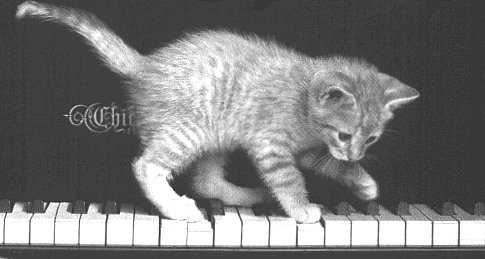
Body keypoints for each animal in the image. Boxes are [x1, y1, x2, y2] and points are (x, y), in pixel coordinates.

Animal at [15, 0, 416, 223]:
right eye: (344, 134)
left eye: (371, 139)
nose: (355, 152)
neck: (302, 97)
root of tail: (146, 65)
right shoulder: (271, 146)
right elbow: (290, 180)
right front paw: (302, 212)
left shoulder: (308, 151)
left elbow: (329, 166)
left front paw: (363, 181)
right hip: (187, 130)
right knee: (147, 166)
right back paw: (177, 209)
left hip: (216, 137)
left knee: (206, 181)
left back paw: (251, 196)